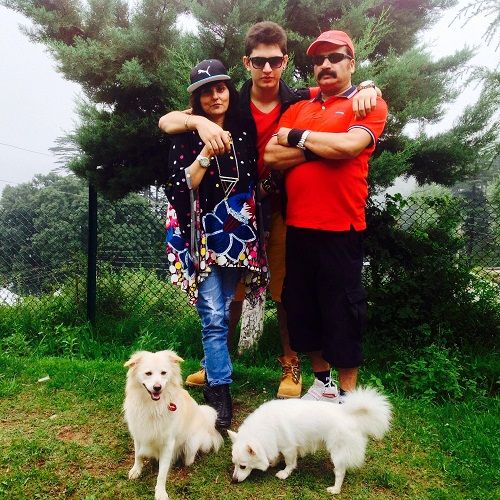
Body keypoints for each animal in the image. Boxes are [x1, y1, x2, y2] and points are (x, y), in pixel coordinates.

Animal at [123, 352, 223, 500]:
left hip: (191, 444)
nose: (157, 387)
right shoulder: (138, 434)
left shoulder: (168, 444)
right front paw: (136, 469)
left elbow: (162, 472)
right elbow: (138, 455)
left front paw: (160, 492)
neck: (153, 407)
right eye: (148, 373)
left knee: (189, 458)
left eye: (163, 373)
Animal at [229, 384, 392, 494]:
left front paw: (284, 473)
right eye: (234, 464)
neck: (265, 426)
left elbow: (289, 463)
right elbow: (276, 455)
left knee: (340, 472)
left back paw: (335, 489)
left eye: (242, 466)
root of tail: (350, 415)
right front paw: (273, 462)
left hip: (337, 453)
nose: (234, 480)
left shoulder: (289, 448)